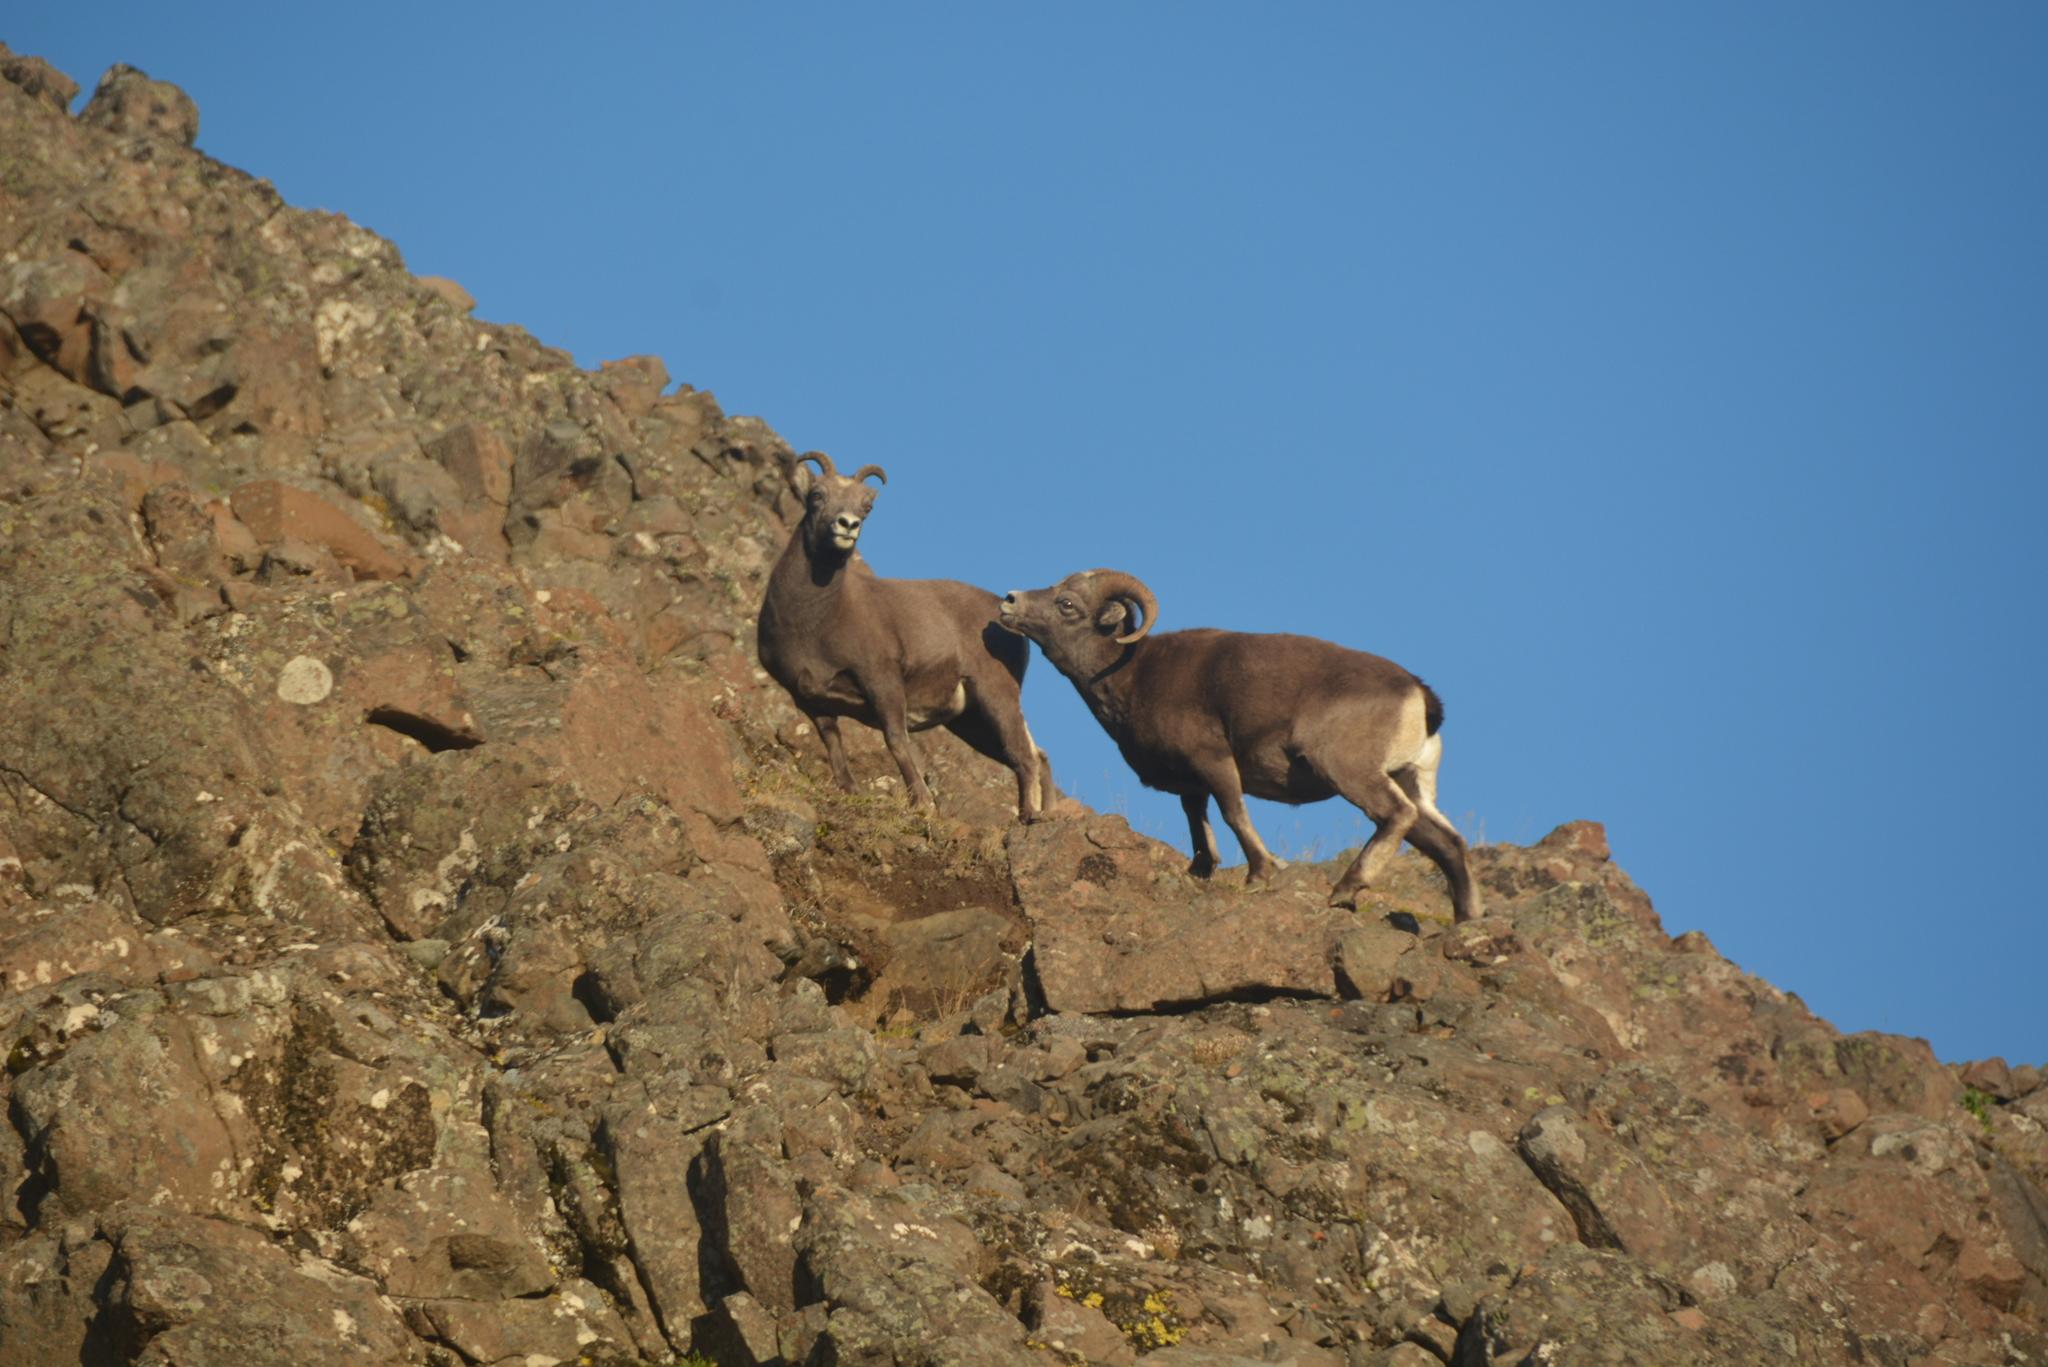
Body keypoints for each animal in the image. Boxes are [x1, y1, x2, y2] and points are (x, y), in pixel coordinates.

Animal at [756, 451, 1047, 821]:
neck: (814, 621)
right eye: (817, 495)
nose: (847, 525)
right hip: (970, 723)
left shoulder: (882, 681)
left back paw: (1030, 817)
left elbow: (896, 739)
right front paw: (850, 790)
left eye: (867, 506)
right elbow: (833, 742)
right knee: (1033, 756)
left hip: (996, 697)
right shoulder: (808, 698)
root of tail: (1004, 612)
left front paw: (922, 803)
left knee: (1024, 756)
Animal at [998, 569, 1478, 921]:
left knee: (1395, 815)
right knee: (1448, 843)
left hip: (1350, 772)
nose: (1009, 601)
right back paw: (1467, 920)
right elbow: (1199, 824)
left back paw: (1344, 891)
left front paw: (1259, 876)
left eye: (1067, 604)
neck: (1131, 675)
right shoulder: (1191, 785)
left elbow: (1233, 814)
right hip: (1411, 779)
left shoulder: (1214, 762)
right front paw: (1201, 871)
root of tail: (1420, 696)